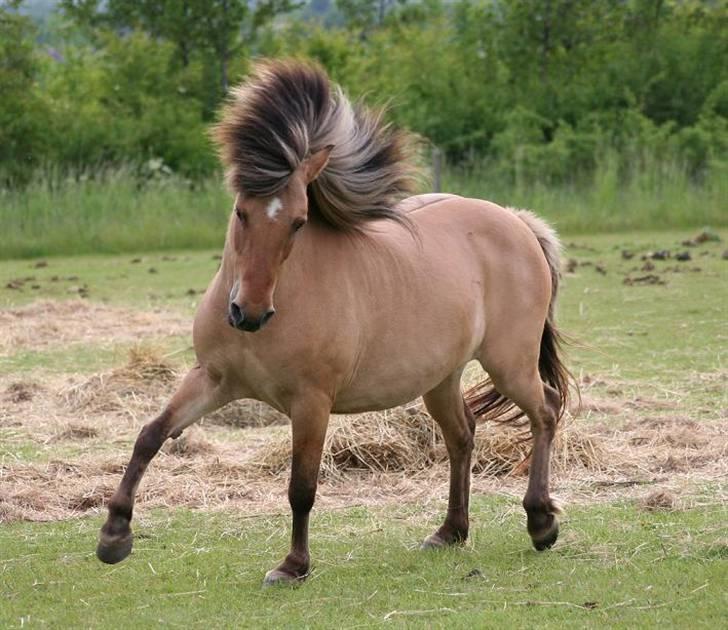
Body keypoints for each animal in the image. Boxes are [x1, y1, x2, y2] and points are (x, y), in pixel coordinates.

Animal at [96, 59, 572, 588]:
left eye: (299, 222)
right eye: (241, 211)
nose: (249, 313)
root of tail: (516, 222)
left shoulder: (311, 403)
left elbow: (301, 487)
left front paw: (293, 565)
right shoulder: (213, 380)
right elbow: (151, 434)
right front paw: (113, 535)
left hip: (508, 363)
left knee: (545, 411)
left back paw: (541, 522)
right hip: (441, 377)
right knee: (462, 434)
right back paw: (450, 531)